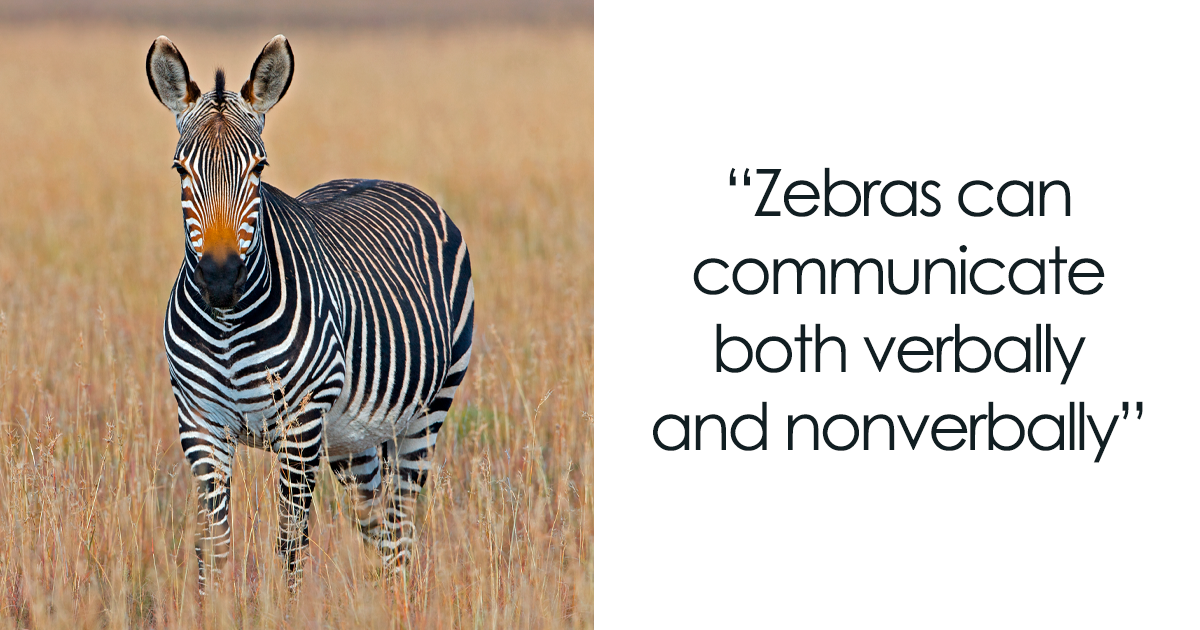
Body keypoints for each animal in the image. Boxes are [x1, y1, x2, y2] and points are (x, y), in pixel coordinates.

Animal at [145, 35, 474, 593]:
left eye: (258, 168)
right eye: (180, 170)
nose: (220, 280)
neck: (228, 327)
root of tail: (381, 178)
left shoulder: (300, 427)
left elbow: (289, 549)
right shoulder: (200, 425)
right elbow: (213, 550)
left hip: (426, 412)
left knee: (401, 526)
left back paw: (400, 601)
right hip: (352, 437)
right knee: (376, 525)